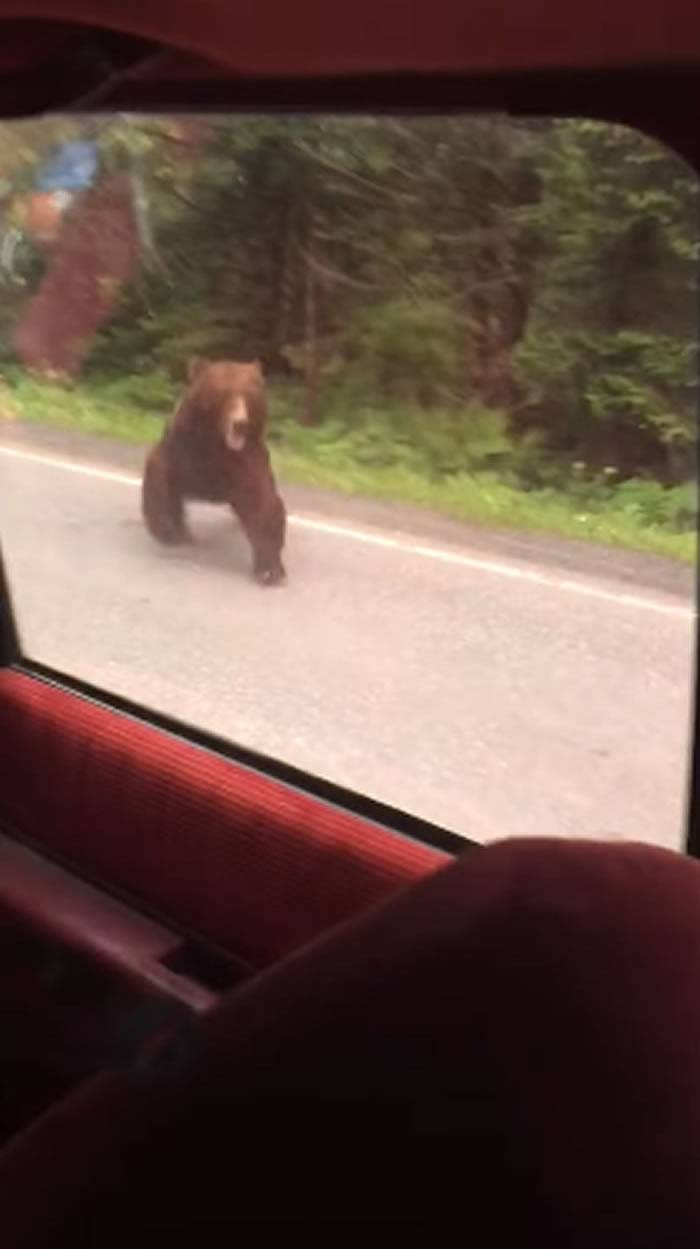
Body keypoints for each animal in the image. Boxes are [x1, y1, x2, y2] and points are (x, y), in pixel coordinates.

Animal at [142, 354, 287, 582]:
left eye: (249, 394)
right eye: (223, 392)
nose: (240, 424)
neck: (217, 442)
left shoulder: (245, 461)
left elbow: (262, 500)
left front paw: (269, 570)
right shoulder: (184, 449)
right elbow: (161, 473)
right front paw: (167, 529)